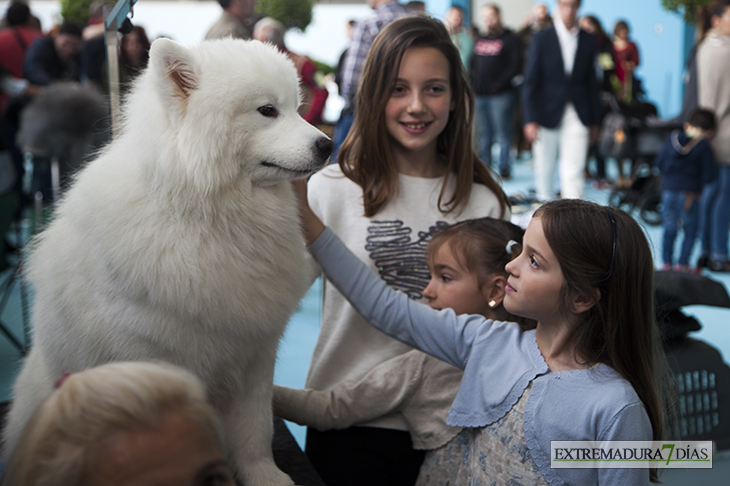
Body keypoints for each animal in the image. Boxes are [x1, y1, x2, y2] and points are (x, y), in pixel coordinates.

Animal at [2, 39, 332, 486]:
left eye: (297, 108)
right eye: (267, 110)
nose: (327, 145)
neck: (206, 215)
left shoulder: (255, 354)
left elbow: (255, 431)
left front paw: (266, 477)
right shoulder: (156, 357)